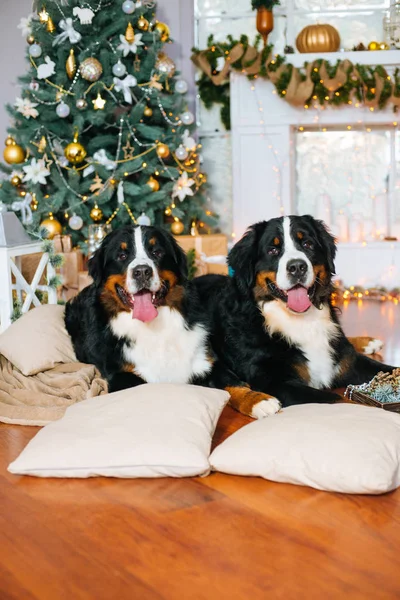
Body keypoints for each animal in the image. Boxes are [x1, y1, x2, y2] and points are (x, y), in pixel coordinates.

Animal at [65, 225, 216, 394]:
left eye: (157, 252)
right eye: (122, 255)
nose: (142, 271)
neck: (153, 327)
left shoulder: (204, 364)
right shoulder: (122, 375)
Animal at [192, 214, 396, 418]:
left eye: (307, 244)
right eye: (273, 250)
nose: (297, 267)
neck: (302, 321)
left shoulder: (349, 362)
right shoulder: (278, 383)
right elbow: (343, 402)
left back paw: (368, 342)